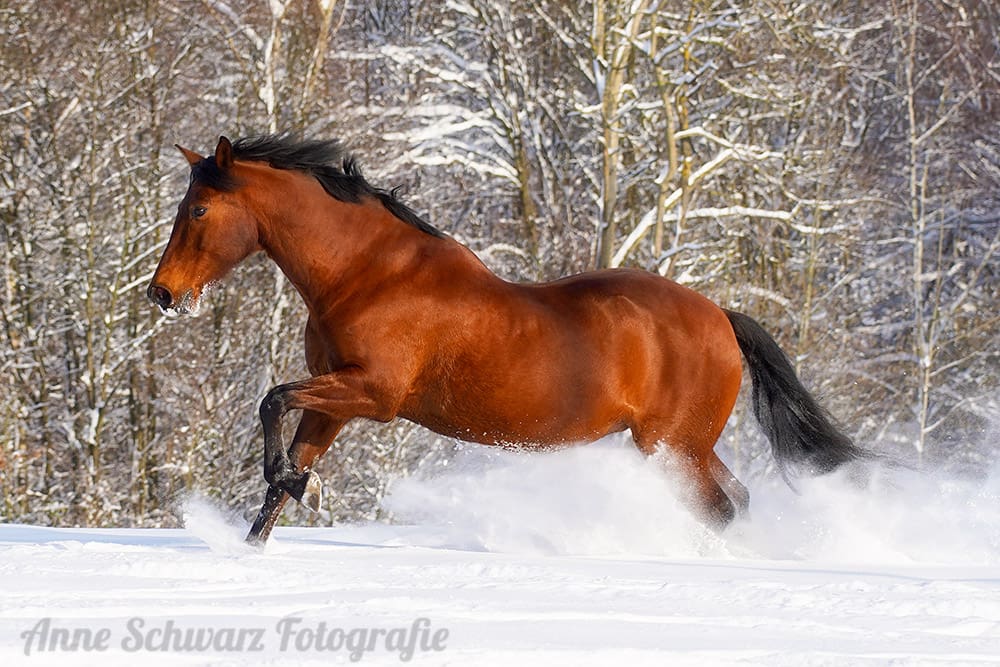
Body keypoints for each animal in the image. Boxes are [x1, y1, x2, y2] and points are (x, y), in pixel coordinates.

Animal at [147, 134, 867, 546]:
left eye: (199, 209)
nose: (162, 293)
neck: (368, 274)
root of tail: (719, 314)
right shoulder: (333, 401)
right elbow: (280, 472)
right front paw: (281, 510)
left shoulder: (371, 394)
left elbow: (271, 402)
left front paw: (303, 486)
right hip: (682, 446)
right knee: (735, 500)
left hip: (674, 447)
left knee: (720, 507)